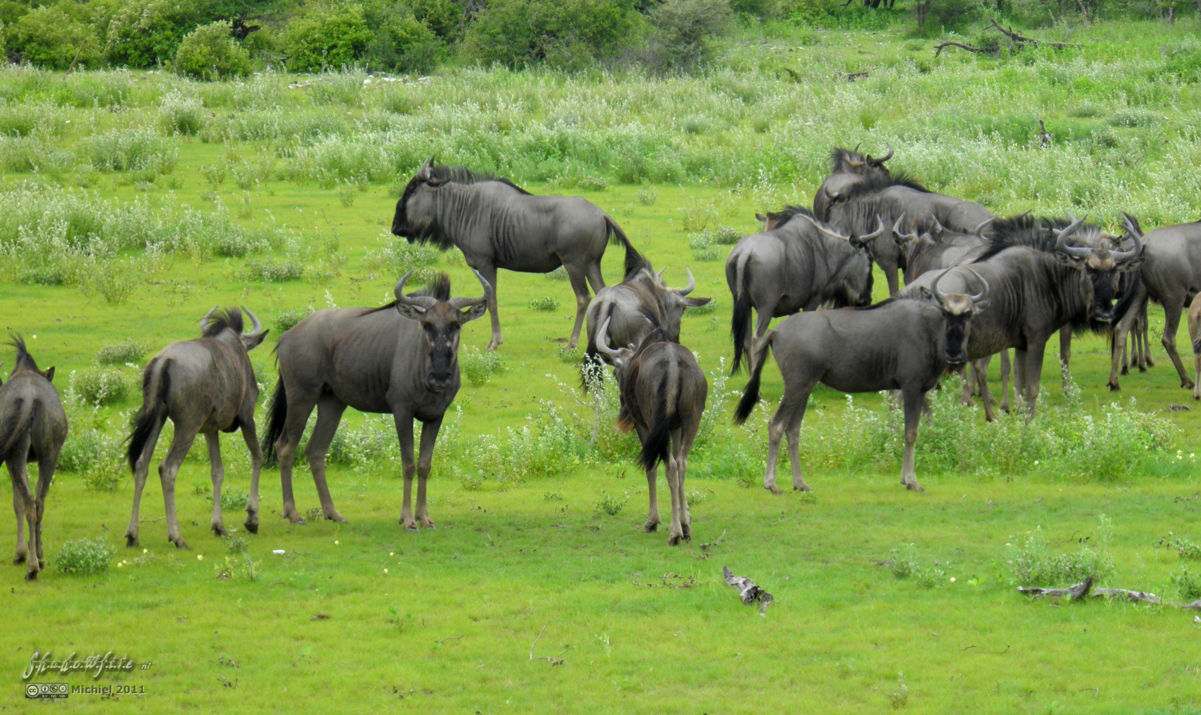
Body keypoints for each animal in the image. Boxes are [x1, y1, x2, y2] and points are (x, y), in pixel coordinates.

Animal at [0, 336, 66, 581]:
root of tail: (31, 399)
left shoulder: (10, 460)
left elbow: (16, 502)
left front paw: (19, 553)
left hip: (16, 454)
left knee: (28, 502)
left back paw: (31, 566)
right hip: (51, 453)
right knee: (39, 502)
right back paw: (40, 557)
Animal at [598, 319, 706, 543]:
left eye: (615, 373)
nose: (622, 401)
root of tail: (673, 365)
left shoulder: (644, 427)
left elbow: (650, 468)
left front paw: (652, 521)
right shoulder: (675, 427)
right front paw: (685, 514)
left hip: (655, 424)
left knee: (670, 465)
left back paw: (675, 532)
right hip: (692, 420)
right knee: (681, 463)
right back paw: (684, 526)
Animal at [735, 273, 989, 497]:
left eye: (968, 314)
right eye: (946, 312)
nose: (954, 353)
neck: (929, 329)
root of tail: (775, 332)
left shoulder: (915, 390)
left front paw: (905, 478)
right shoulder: (911, 388)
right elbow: (910, 433)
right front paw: (911, 481)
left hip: (804, 389)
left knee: (793, 429)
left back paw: (800, 483)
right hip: (796, 387)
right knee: (776, 425)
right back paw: (772, 484)